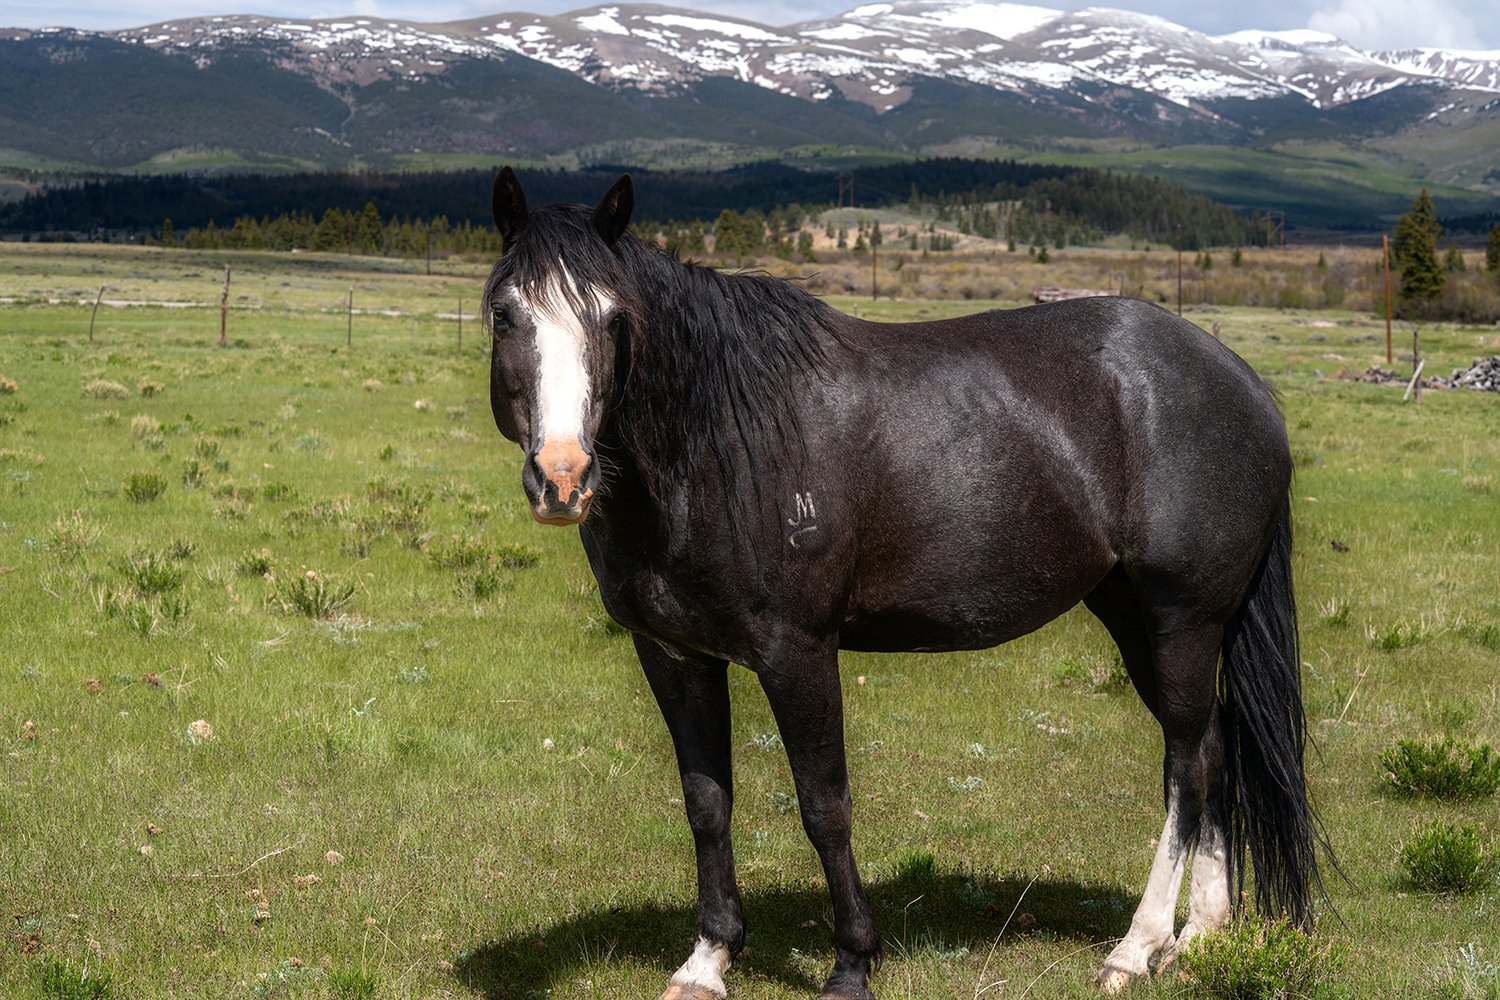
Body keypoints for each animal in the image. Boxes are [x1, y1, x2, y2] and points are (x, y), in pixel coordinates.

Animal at [480, 167, 1323, 1000]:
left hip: (1184, 619)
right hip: (1137, 617)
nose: (564, 477)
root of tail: (1245, 385)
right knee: (1213, 750)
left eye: (612, 319)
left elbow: (825, 806)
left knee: (1186, 765)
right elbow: (707, 801)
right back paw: (1201, 937)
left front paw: (852, 962)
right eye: (504, 316)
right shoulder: (674, 654)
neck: (719, 448)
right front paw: (708, 959)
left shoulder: (798, 652)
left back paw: (1135, 947)